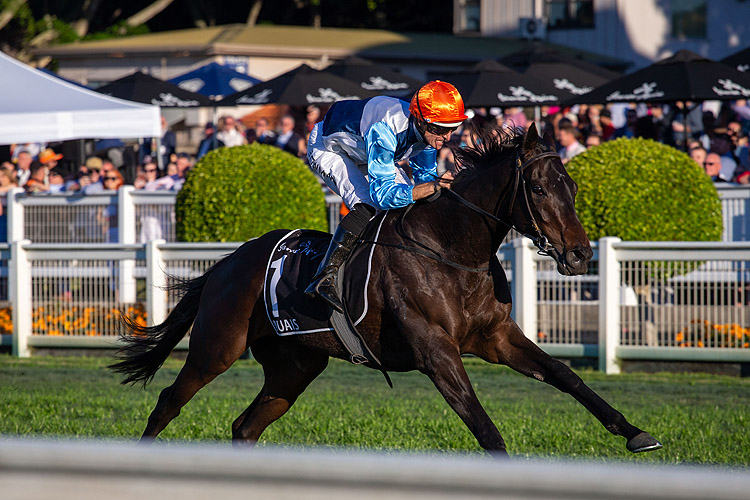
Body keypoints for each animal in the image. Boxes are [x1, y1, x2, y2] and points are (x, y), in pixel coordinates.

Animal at [110, 124, 664, 458]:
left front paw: (636, 432)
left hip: (294, 367)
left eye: (573, 187)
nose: (579, 255)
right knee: (169, 401)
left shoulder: (496, 337)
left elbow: (564, 375)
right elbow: (482, 423)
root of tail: (226, 263)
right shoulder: (436, 352)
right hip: (217, 347)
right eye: (541, 188)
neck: (450, 250)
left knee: (245, 427)